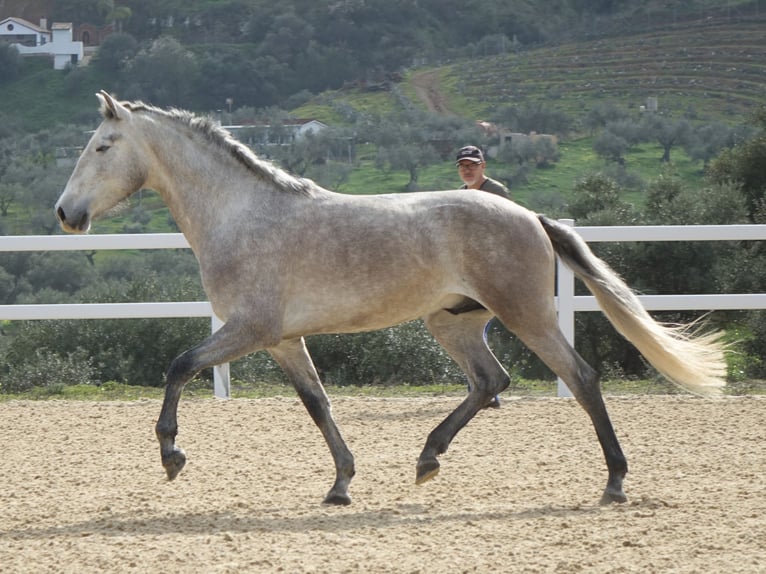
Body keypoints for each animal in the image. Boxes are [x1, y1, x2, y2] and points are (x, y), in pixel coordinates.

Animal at [55, 91, 726, 506]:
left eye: (102, 146)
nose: (66, 213)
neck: (242, 216)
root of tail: (530, 217)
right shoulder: (283, 341)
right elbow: (318, 404)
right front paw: (341, 485)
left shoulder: (249, 330)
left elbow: (179, 367)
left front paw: (171, 454)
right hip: (452, 324)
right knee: (490, 381)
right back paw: (427, 460)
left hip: (526, 314)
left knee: (580, 378)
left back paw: (614, 482)